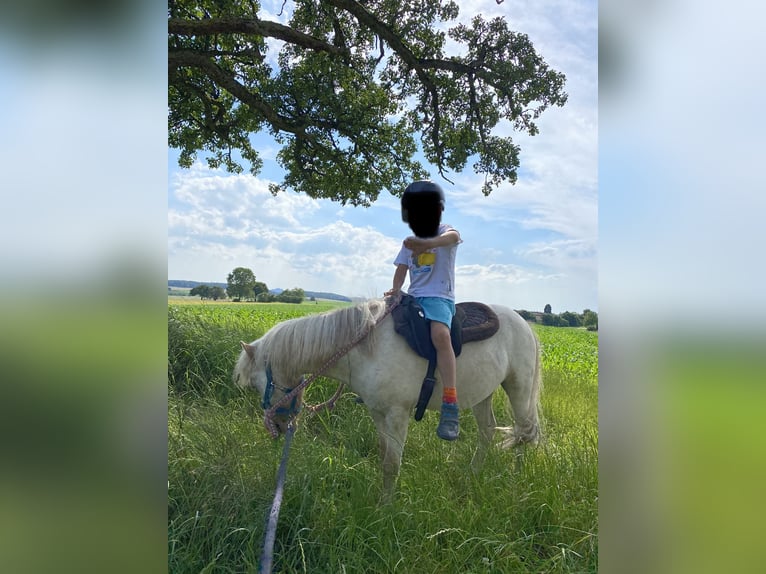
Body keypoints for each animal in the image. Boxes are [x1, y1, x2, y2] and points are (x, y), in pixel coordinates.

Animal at [236, 300, 544, 502]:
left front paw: (385, 509)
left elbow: (392, 464)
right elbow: (384, 454)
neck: (364, 349)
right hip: (483, 393)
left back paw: (516, 479)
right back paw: (473, 474)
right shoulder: (377, 412)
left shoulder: (398, 414)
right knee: (488, 431)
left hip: (519, 387)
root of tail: (525, 324)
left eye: (258, 384)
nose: (278, 426)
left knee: (523, 431)